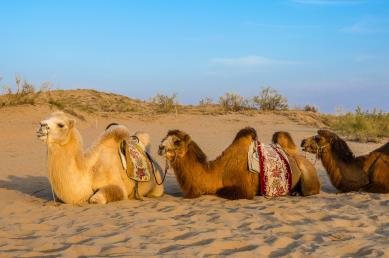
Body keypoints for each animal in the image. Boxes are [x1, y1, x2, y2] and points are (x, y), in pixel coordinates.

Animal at [36, 112, 164, 205]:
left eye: (61, 124)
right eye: (45, 118)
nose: (41, 125)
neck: (88, 171)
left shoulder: (116, 184)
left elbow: (95, 199)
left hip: (158, 186)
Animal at [157, 127, 318, 200]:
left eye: (177, 141)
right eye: (164, 138)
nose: (160, 147)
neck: (217, 173)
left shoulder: (244, 190)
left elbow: (221, 192)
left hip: (308, 176)